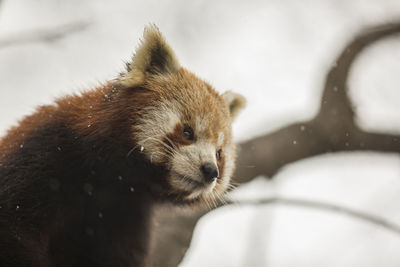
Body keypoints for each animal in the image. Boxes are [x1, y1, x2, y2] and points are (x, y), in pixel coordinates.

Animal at [0, 25, 244, 267]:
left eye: (219, 154)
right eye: (187, 132)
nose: (210, 171)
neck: (112, 177)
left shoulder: (126, 214)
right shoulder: (41, 156)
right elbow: (13, 231)